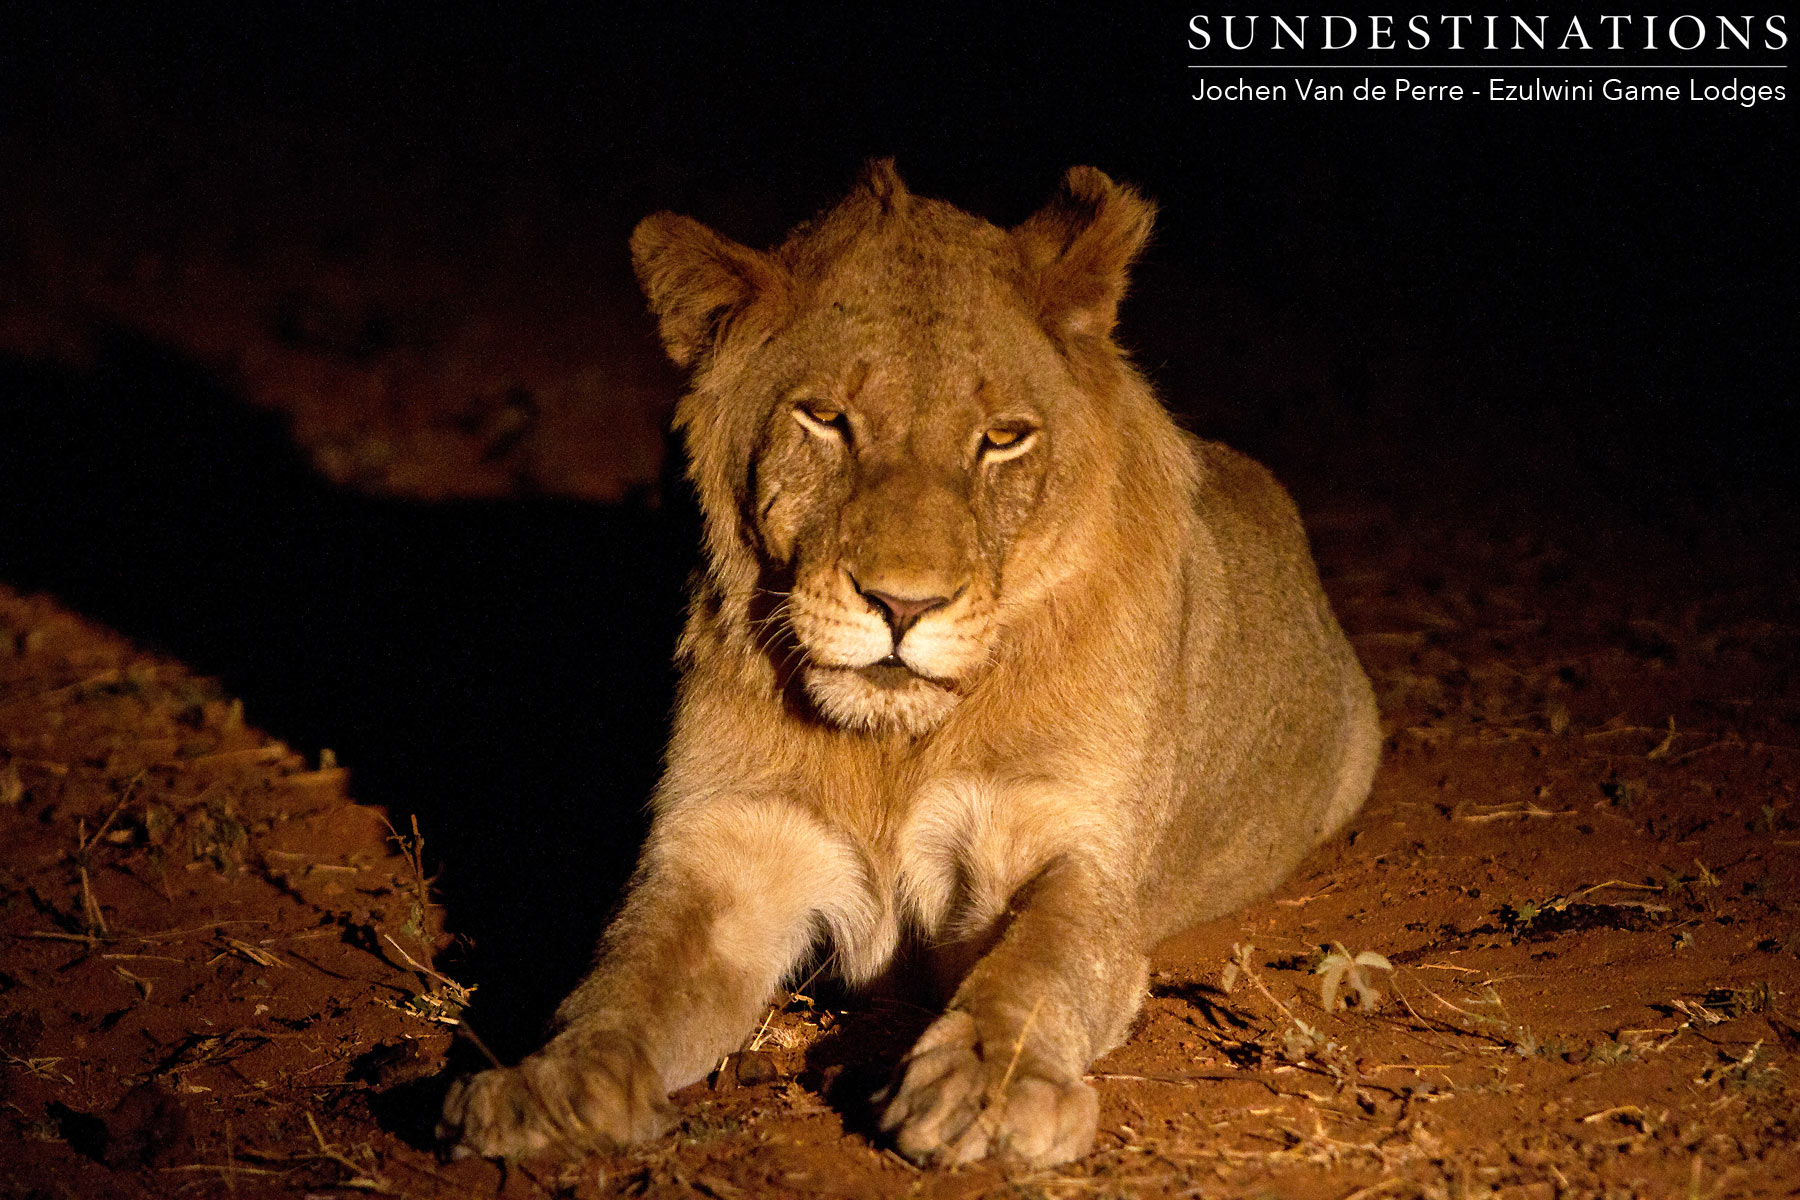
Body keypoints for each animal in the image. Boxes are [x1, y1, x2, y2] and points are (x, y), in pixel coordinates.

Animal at [439, 161, 1380, 1168]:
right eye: (825, 419)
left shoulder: (1068, 845)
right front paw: (549, 1085)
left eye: (1003, 437)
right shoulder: (728, 850)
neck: (894, 747)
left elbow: (1037, 966)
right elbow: (623, 975)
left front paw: (989, 1088)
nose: (902, 606)